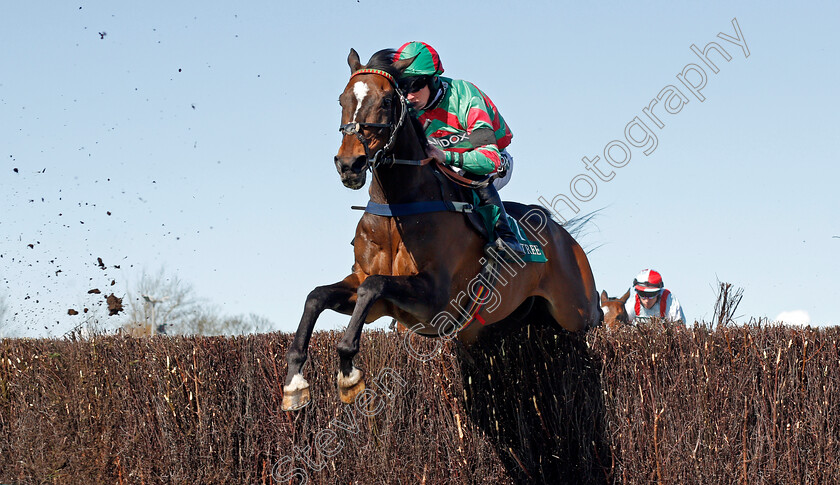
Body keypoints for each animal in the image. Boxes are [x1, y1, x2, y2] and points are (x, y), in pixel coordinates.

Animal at [284, 48, 604, 408]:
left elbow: (374, 286)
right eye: (342, 99)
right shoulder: (372, 291)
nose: (349, 164)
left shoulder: (435, 300)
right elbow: (318, 295)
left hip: (576, 312)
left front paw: (349, 374)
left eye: (386, 101)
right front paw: (295, 381)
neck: (398, 209)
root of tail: (566, 237)